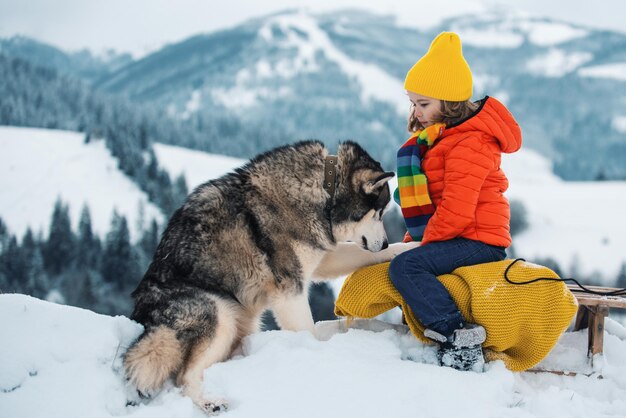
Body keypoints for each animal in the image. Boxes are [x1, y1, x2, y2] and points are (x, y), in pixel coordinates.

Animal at [123, 140, 412, 412]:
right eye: (379, 212)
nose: (384, 244)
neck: (324, 190)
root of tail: (143, 317)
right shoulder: (290, 290)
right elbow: (309, 332)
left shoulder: (322, 258)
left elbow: (361, 256)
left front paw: (406, 249)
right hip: (219, 314)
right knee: (183, 377)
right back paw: (210, 403)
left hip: (243, 323)